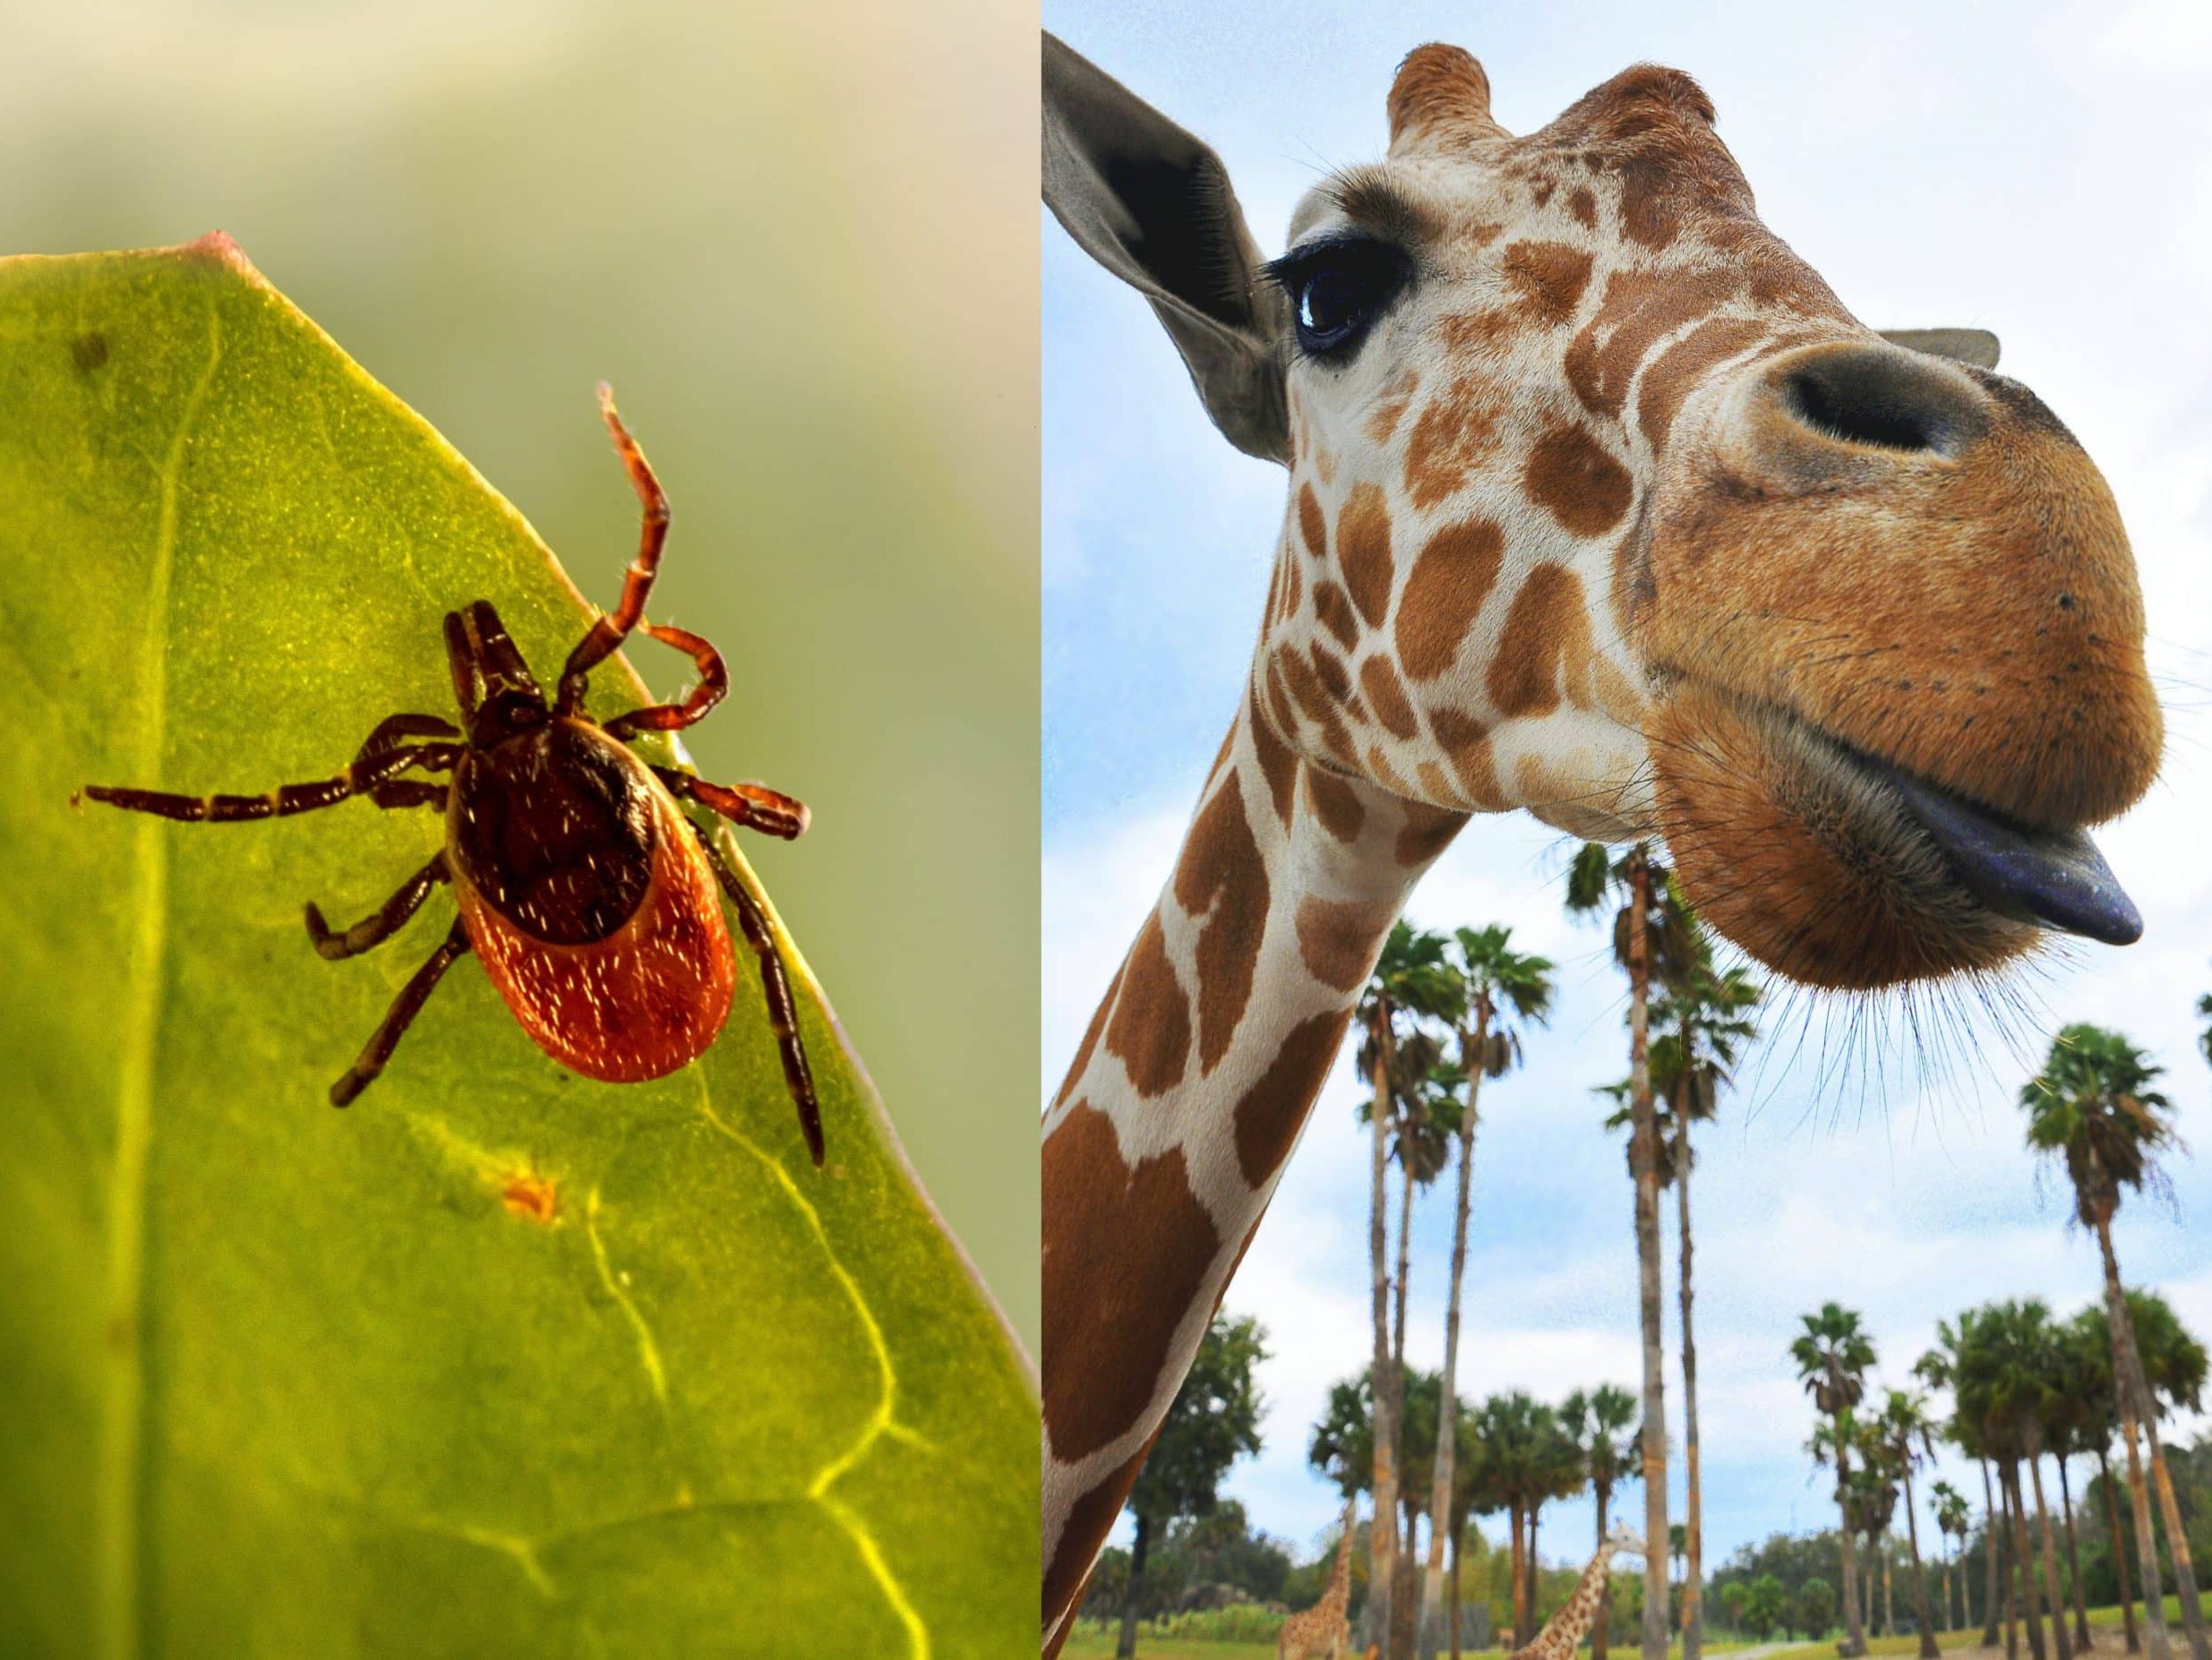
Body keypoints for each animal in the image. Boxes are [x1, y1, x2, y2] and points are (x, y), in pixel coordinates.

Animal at [1278, 1502, 1361, 1660]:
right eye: (1347, 1508)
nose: (1355, 1501)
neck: (1341, 1602)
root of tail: (1282, 1635)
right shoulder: (1341, 1646)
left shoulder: (1329, 1653)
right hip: (1296, 1652)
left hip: (1282, 1654)